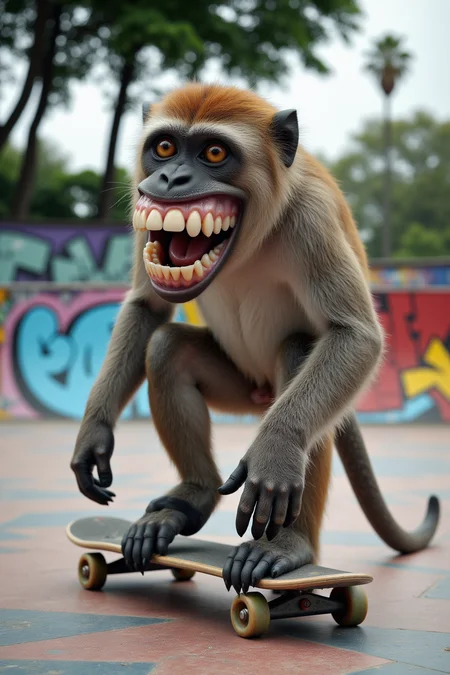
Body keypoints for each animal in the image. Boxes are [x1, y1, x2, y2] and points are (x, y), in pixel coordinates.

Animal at [70, 83, 440, 595]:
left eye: (214, 152)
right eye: (164, 147)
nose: (170, 178)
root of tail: (261, 393)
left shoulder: (312, 218)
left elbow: (355, 335)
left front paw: (278, 451)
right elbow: (148, 307)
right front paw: (94, 432)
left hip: (276, 393)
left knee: (299, 351)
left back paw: (287, 546)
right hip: (241, 387)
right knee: (166, 349)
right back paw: (191, 500)